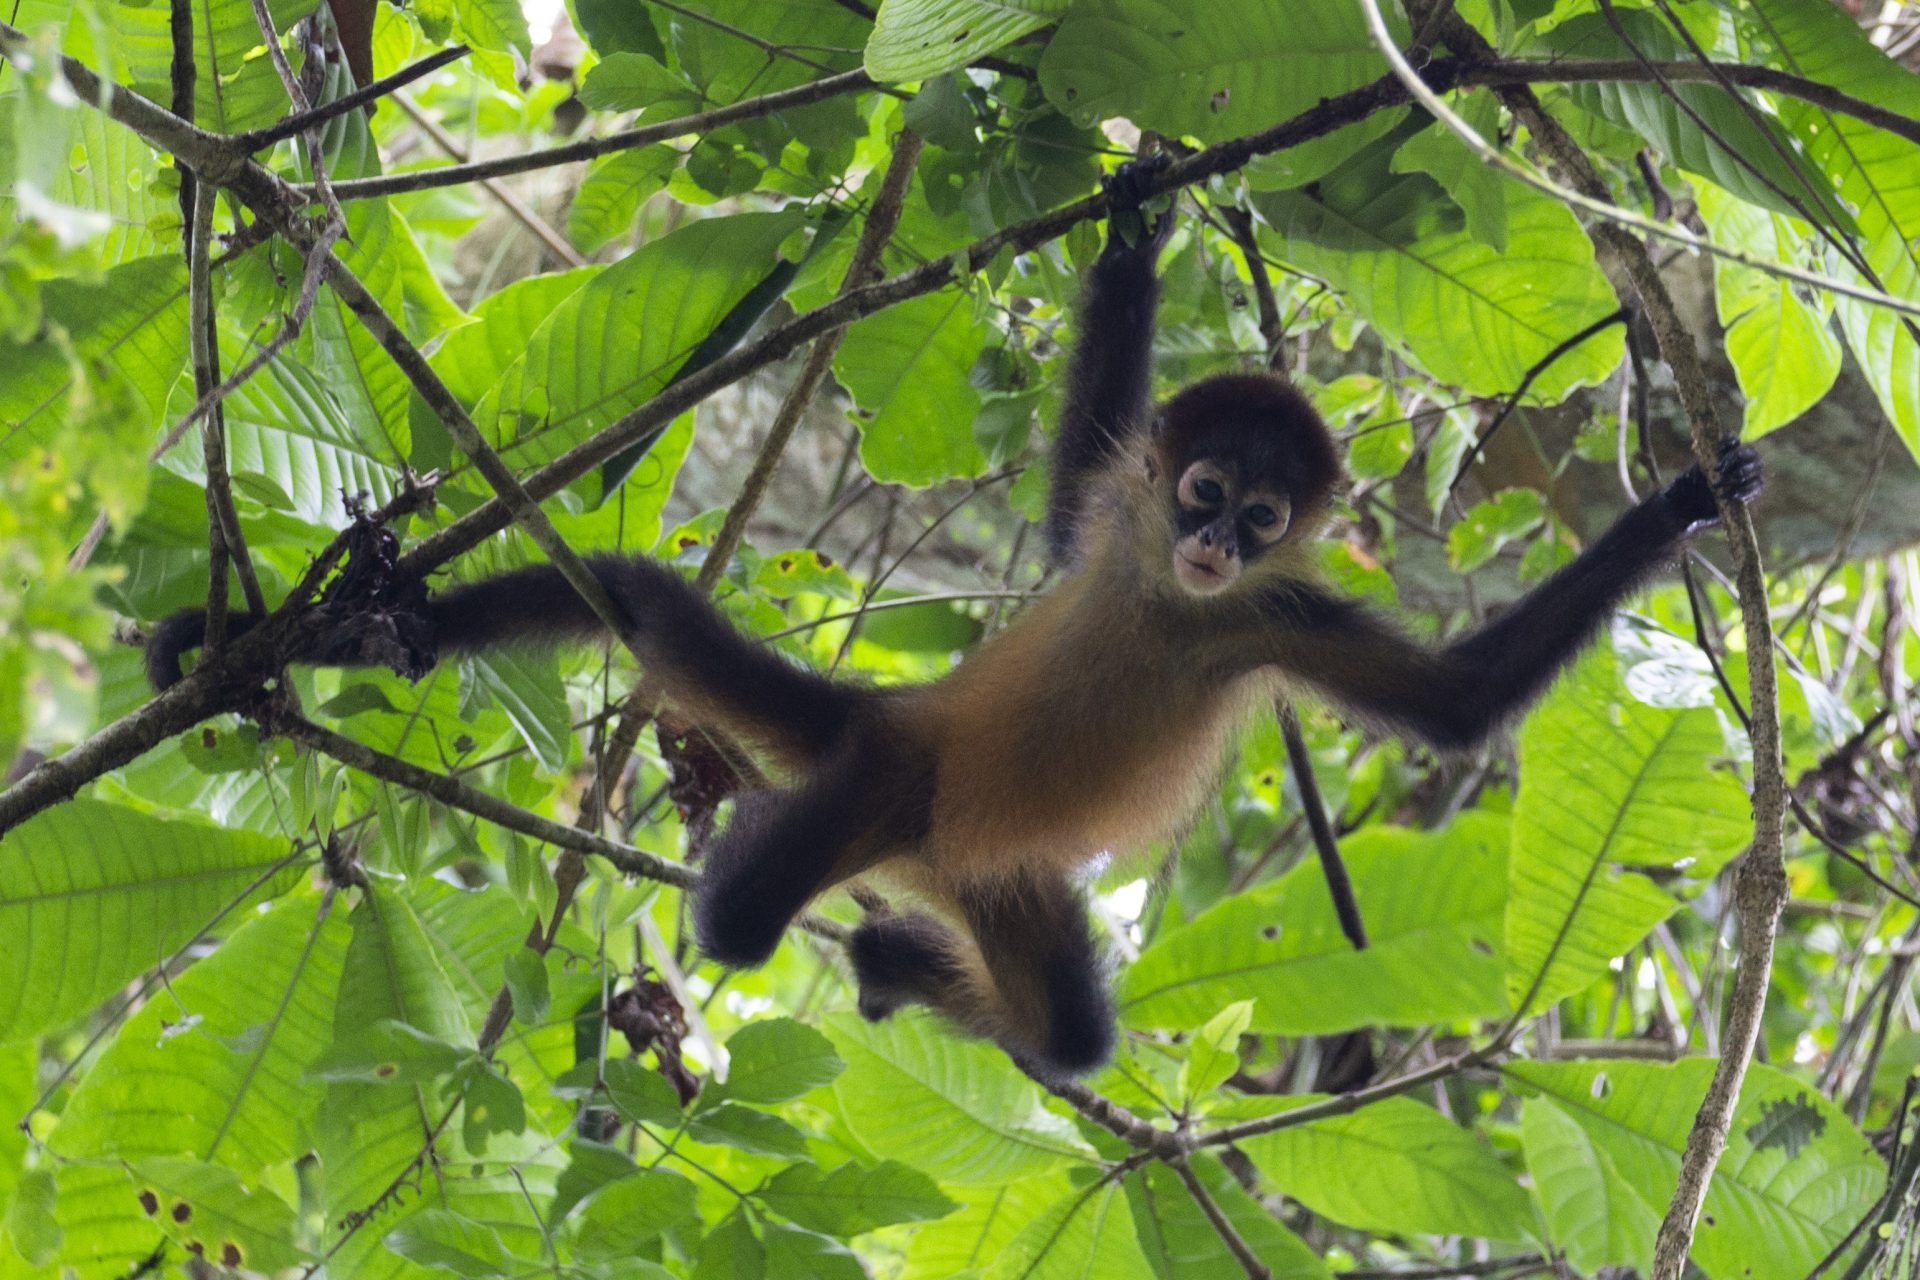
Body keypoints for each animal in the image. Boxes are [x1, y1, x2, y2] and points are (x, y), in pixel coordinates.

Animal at [145, 163, 1766, 1082]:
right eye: (1202, 489)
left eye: (1258, 519)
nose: (1205, 544)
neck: (1156, 604)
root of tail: (895, 746)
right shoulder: (1114, 533)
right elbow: (1067, 520)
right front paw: (1139, 221)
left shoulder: (1265, 614)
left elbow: (1452, 707)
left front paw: (1681, 504)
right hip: (884, 779)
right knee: (699, 785)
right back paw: (339, 642)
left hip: (994, 869)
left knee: (1067, 1038)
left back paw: (897, 965)